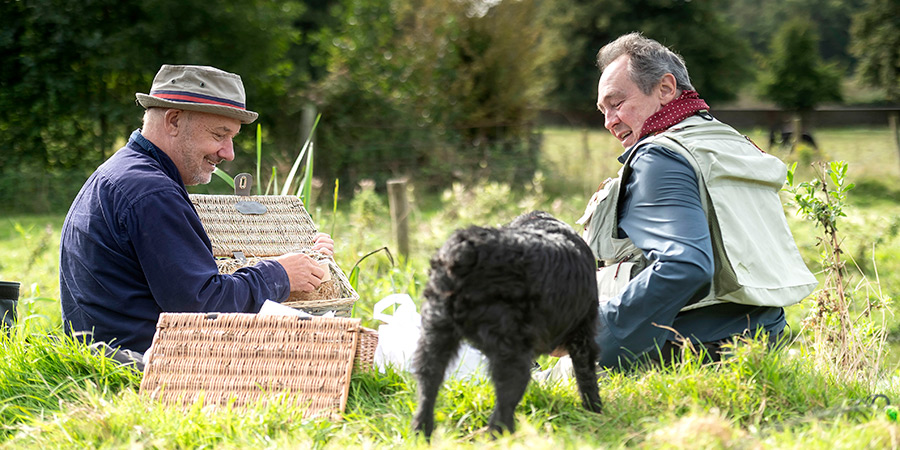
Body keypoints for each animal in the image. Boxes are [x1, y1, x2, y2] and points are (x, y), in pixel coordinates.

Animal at [412, 211, 600, 440]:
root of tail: (466, 251)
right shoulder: (583, 333)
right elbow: (586, 375)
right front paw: (595, 412)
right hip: (512, 350)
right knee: (504, 404)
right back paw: (507, 437)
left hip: (435, 332)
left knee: (428, 381)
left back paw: (421, 432)